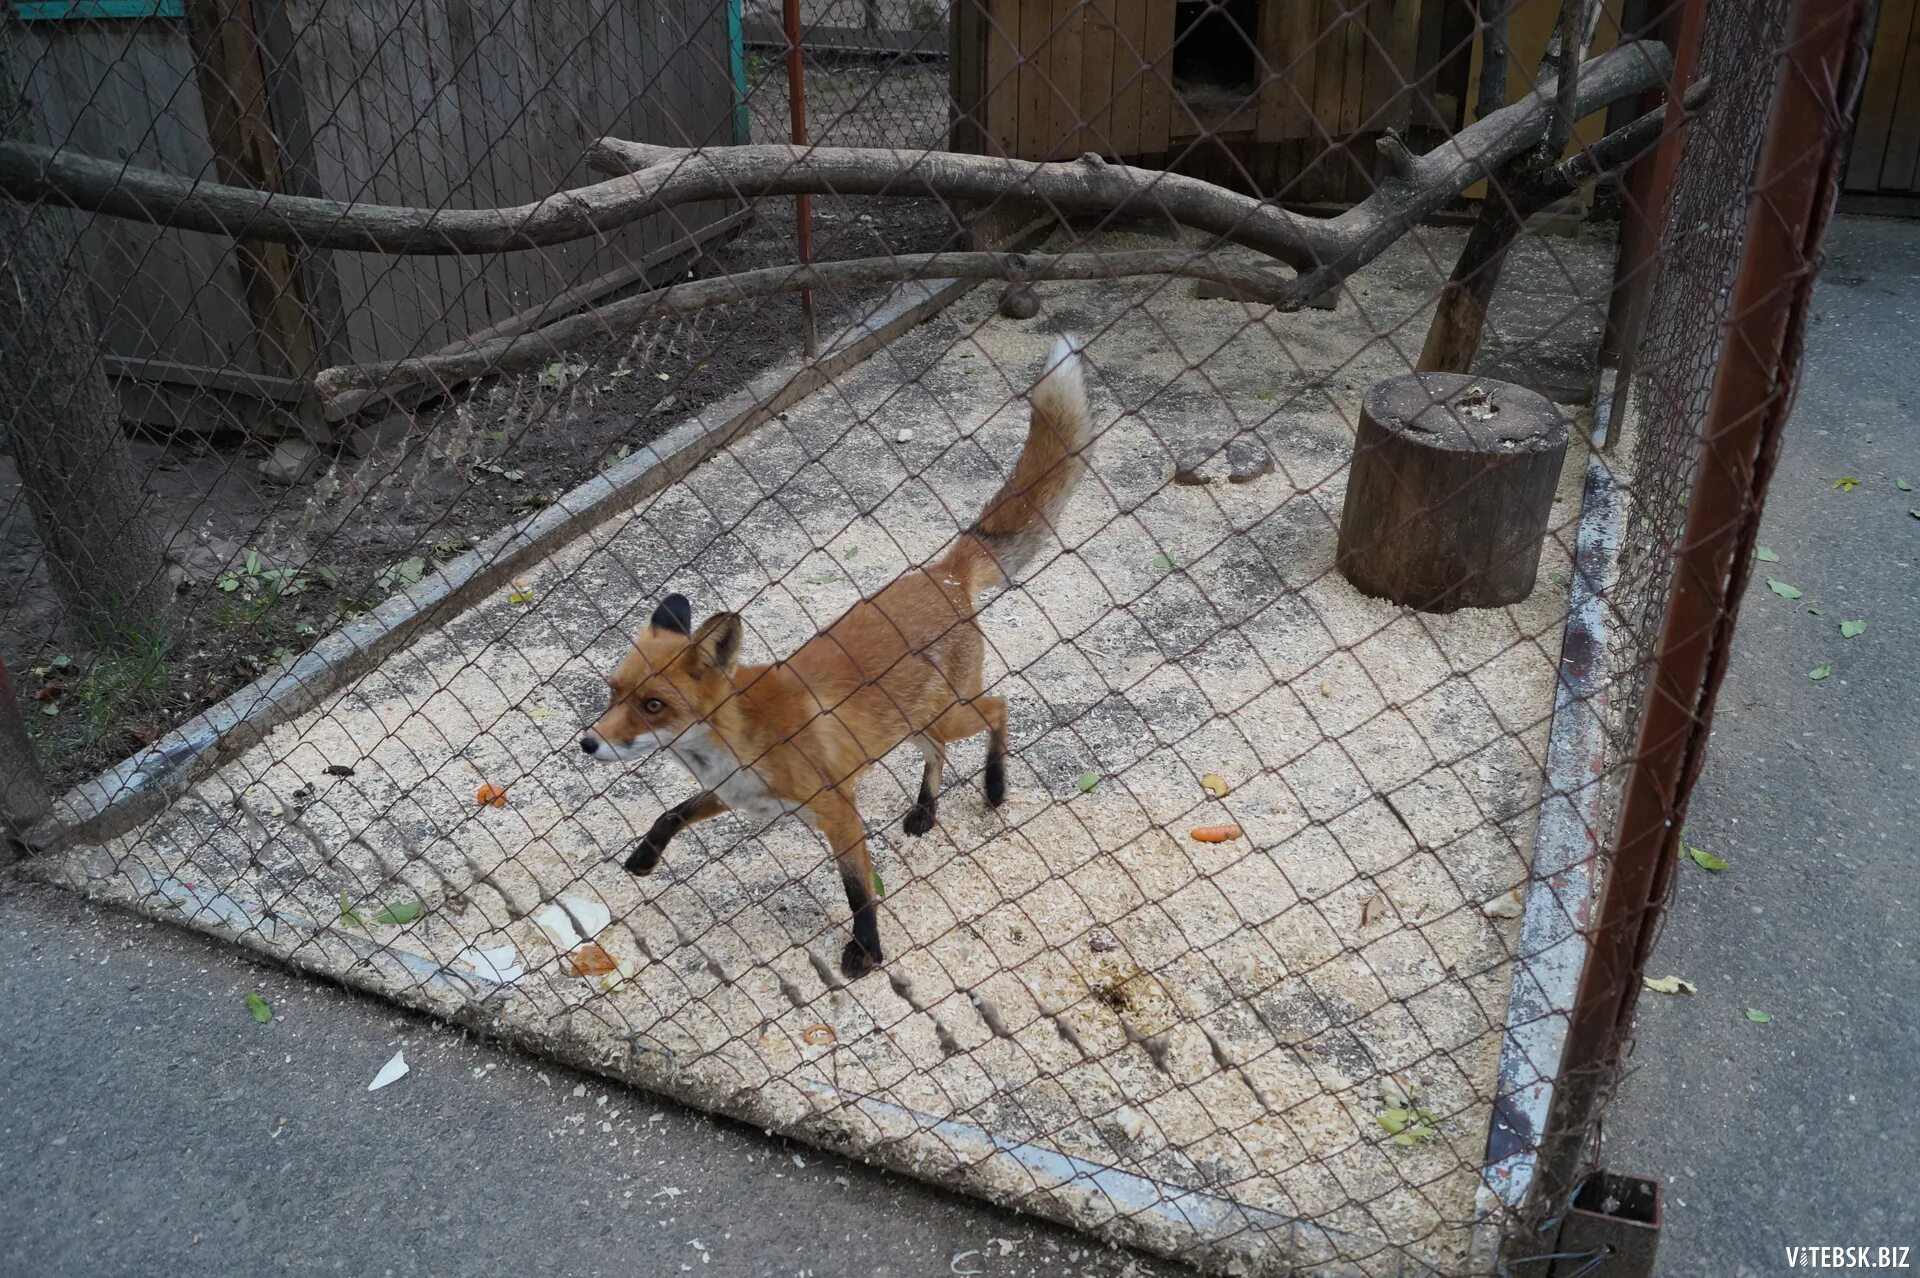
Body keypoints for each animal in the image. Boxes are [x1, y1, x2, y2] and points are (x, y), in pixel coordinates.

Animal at [579, 333, 1098, 970]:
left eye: (653, 705)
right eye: (613, 693)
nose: (587, 743)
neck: (736, 741)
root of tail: (942, 572)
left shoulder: (838, 810)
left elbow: (857, 889)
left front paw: (866, 949)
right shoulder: (737, 796)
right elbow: (671, 811)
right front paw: (646, 854)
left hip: (949, 712)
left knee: (999, 707)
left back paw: (995, 786)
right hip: (910, 723)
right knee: (938, 751)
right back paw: (927, 810)